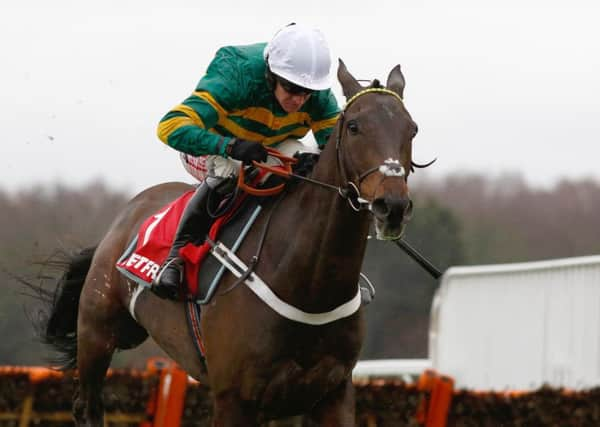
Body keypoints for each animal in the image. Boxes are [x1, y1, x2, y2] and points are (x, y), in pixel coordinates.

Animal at [36, 61, 418, 427]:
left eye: (412, 129)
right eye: (354, 126)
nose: (392, 206)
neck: (309, 286)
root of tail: (122, 219)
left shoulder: (332, 393)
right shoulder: (235, 398)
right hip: (97, 334)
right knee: (87, 406)